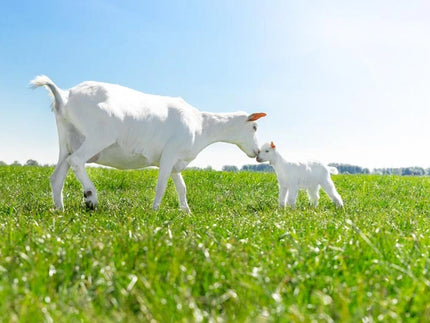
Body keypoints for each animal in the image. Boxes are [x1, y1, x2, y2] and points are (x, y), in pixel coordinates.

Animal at [31, 75, 266, 213]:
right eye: (255, 127)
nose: (256, 152)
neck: (201, 125)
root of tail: (65, 95)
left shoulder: (176, 161)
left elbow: (181, 187)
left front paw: (186, 211)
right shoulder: (169, 155)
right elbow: (161, 186)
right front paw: (154, 211)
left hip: (67, 139)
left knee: (57, 175)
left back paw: (60, 209)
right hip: (100, 136)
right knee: (77, 161)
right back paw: (91, 197)